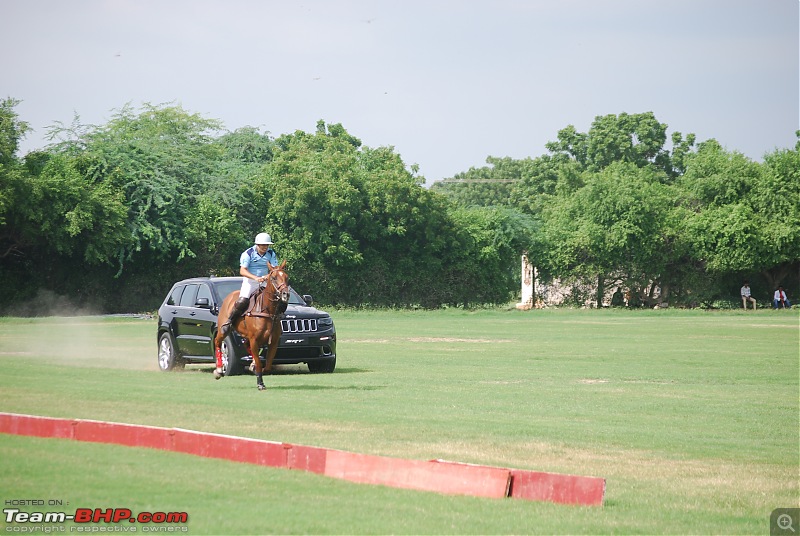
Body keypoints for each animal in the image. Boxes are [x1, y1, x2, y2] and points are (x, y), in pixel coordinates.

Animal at [214, 260, 290, 390]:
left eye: (286, 277)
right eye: (274, 278)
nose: (285, 294)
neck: (267, 310)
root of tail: (229, 296)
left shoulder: (273, 342)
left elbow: (267, 365)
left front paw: (256, 369)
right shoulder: (254, 340)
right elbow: (260, 363)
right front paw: (260, 383)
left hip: (246, 335)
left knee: (245, 344)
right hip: (223, 329)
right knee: (217, 342)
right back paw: (219, 370)